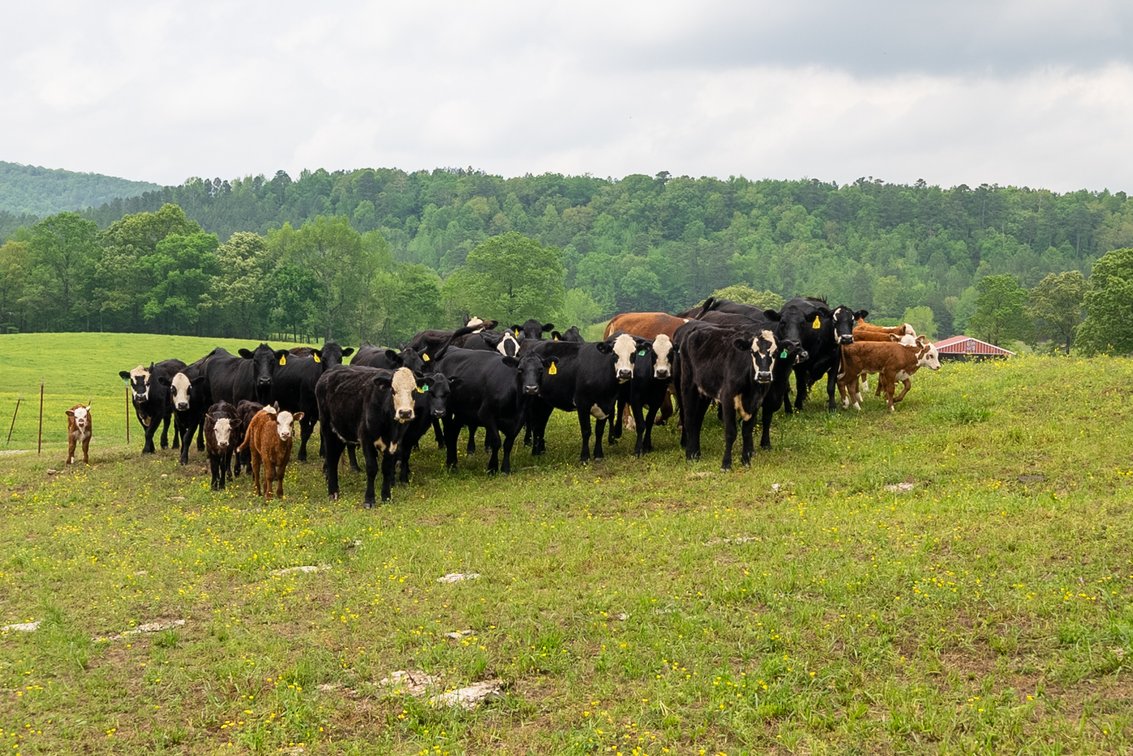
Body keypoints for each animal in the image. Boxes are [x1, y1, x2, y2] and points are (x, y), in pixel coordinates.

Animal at [316, 365, 428, 506]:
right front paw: (369, 500)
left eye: (414, 390)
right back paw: (333, 492)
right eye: (393, 390)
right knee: (331, 458)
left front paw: (386, 497)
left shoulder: (393, 443)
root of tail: (331, 371)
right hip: (328, 429)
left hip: (342, 432)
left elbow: (387, 468)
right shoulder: (366, 439)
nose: (405, 412)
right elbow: (371, 468)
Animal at [673, 321, 777, 470]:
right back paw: (690, 454)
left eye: (775, 352)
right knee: (690, 419)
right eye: (752, 352)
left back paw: (697, 453)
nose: (764, 375)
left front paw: (746, 461)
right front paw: (726, 464)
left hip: (704, 393)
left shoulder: (756, 402)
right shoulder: (727, 399)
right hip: (687, 385)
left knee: (697, 421)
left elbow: (747, 431)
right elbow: (731, 432)